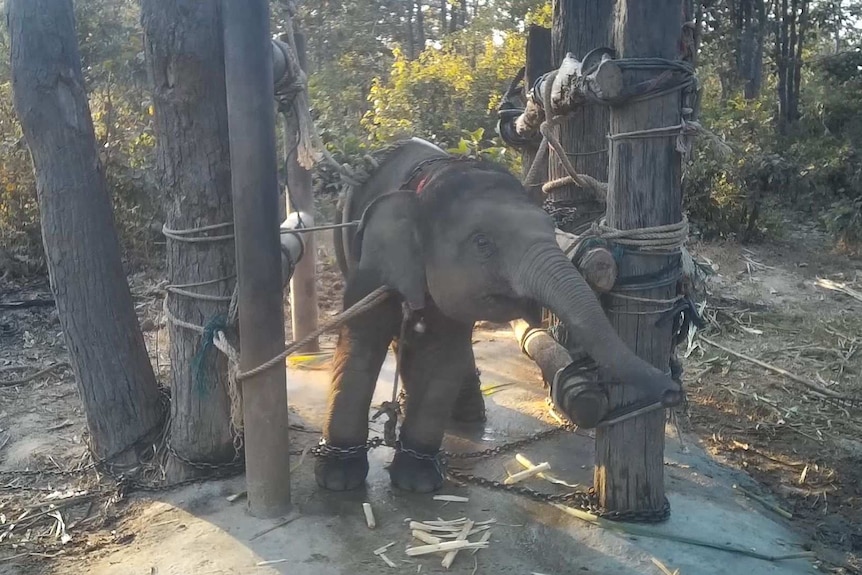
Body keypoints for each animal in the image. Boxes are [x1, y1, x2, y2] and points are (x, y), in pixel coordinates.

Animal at [316, 138, 680, 496]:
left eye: (552, 229)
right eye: (482, 243)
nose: (672, 391)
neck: (431, 182)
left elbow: (442, 356)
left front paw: (418, 480)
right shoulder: (371, 264)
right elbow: (361, 343)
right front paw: (339, 478)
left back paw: (466, 415)